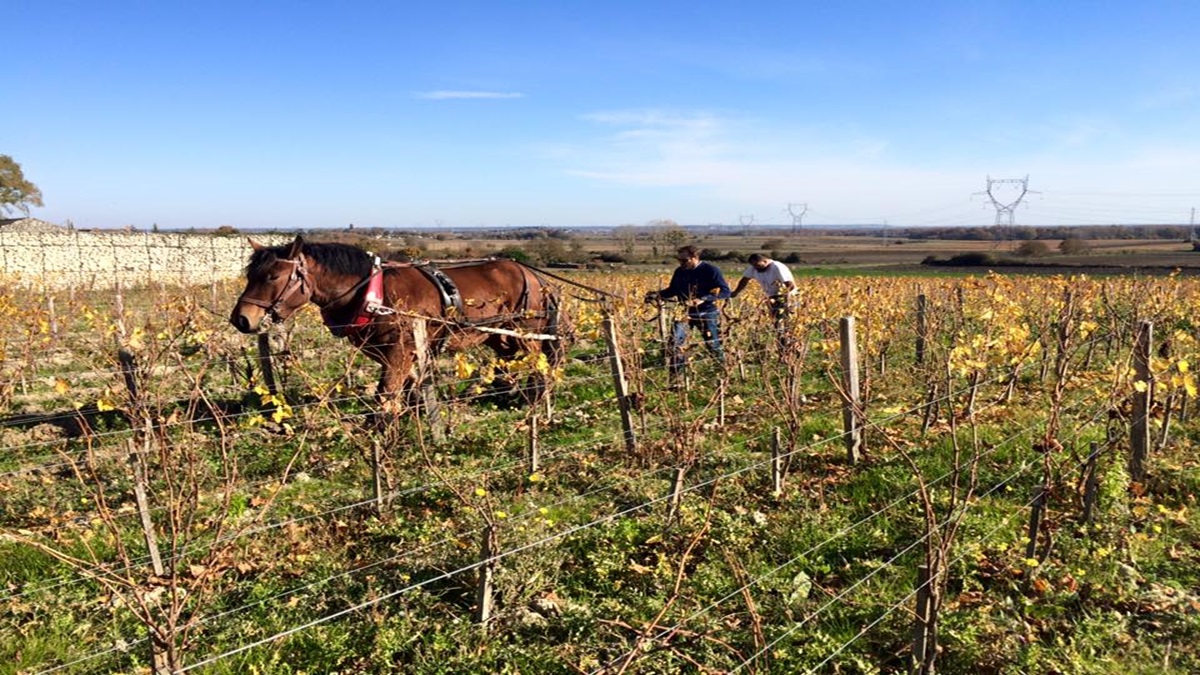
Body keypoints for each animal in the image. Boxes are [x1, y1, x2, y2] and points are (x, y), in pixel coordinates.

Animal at [231, 236, 564, 403]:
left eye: (273, 276)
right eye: (250, 275)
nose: (241, 319)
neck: (371, 291)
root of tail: (531, 274)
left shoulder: (401, 349)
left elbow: (386, 395)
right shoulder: (390, 352)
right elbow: (405, 387)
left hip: (526, 330)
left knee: (537, 362)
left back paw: (535, 398)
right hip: (497, 332)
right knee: (509, 359)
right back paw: (507, 393)